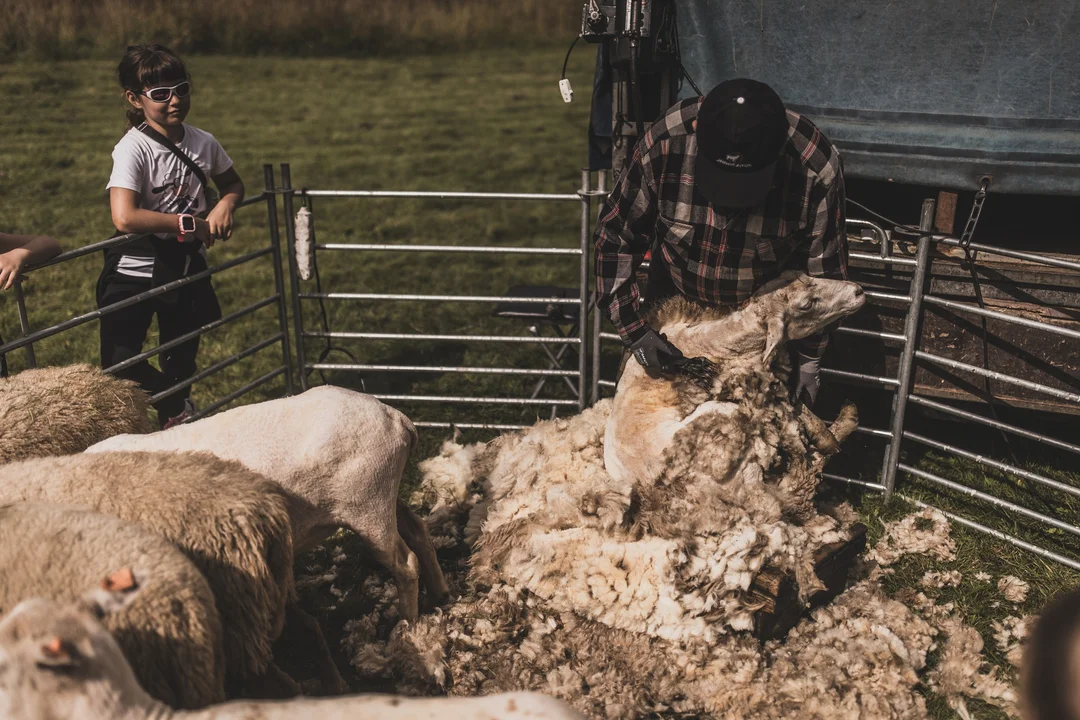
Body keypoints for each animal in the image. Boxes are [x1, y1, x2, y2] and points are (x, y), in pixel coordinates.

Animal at [85, 386, 451, 621]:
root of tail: (397, 417)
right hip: (385, 494)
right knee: (418, 530)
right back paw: (440, 593)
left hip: (368, 505)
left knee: (405, 563)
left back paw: (408, 624)